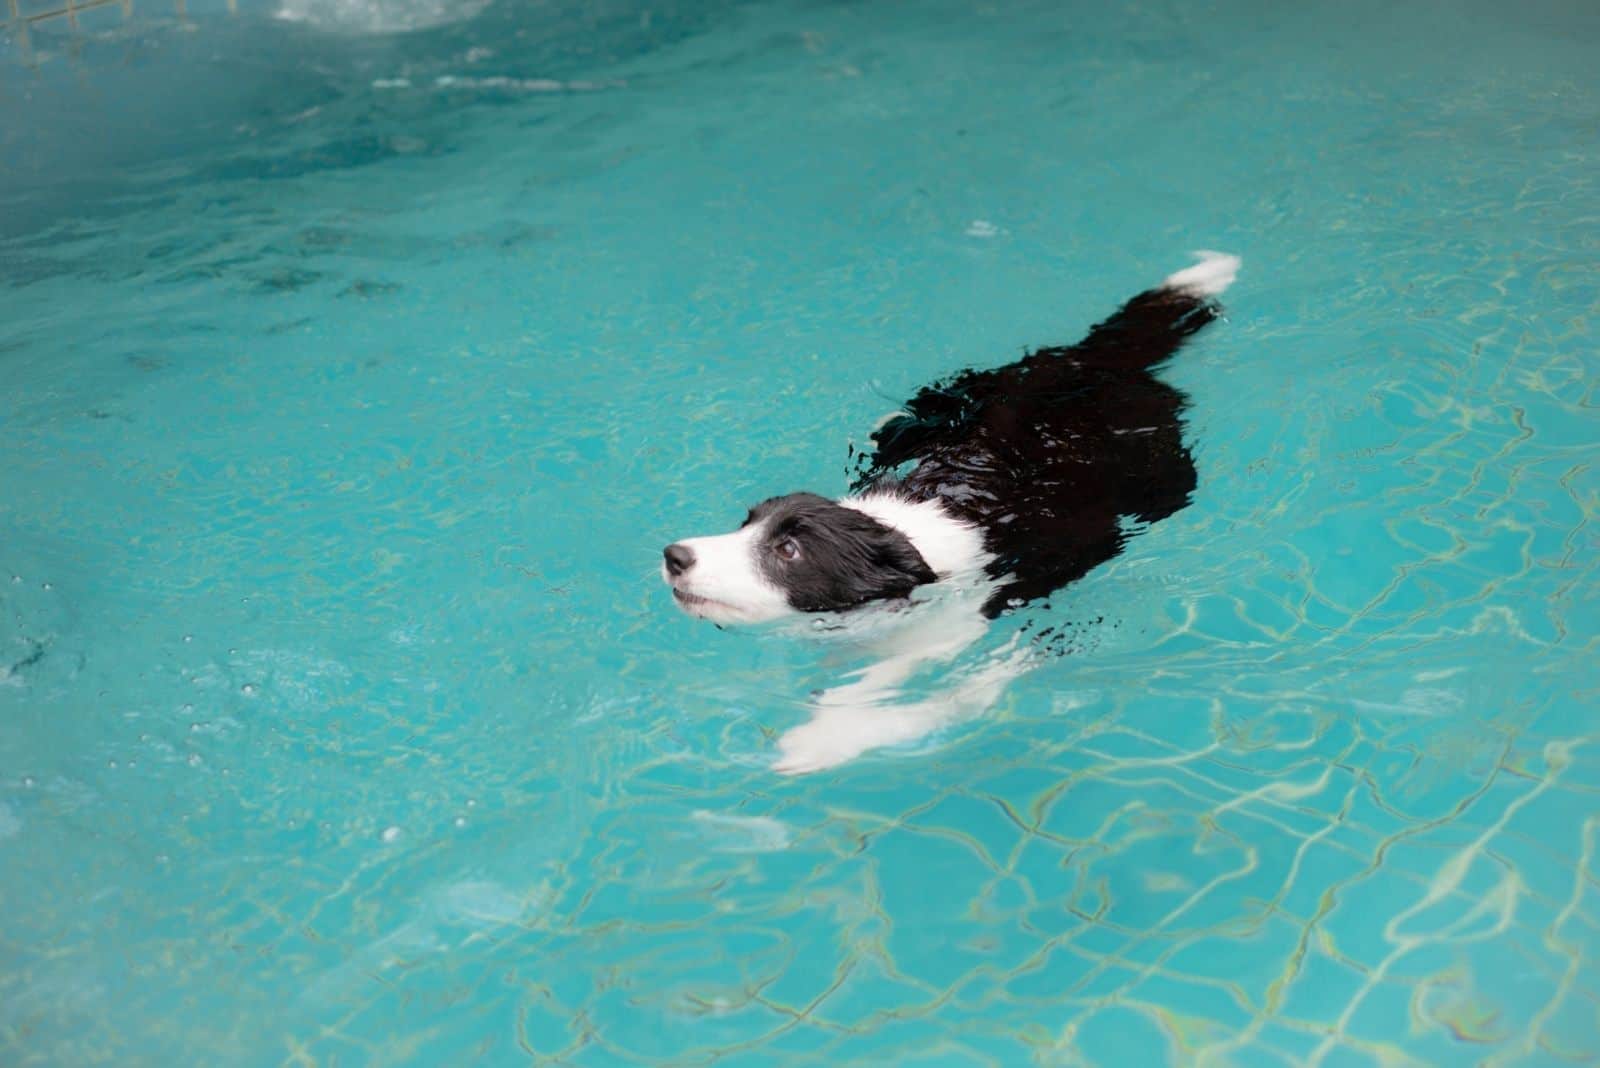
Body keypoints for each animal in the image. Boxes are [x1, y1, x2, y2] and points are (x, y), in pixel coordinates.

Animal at [659, 254, 1235, 770]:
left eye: (789, 550)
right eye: (745, 524)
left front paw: (822, 740)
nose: (674, 555)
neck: (908, 534)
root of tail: (1093, 364)